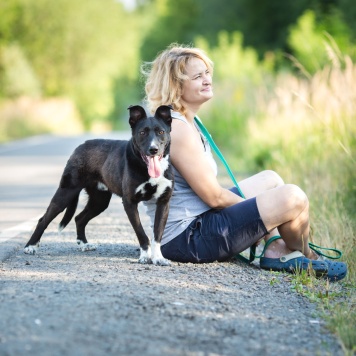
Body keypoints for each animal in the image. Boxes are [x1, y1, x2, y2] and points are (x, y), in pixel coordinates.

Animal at [23, 104, 172, 266]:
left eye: (161, 132)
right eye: (142, 132)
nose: (153, 149)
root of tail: (80, 146)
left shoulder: (163, 203)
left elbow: (157, 234)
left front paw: (158, 257)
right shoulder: (129, 202)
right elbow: (141, 232)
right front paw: (145, 256)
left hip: (99, 201)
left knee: (79, 218)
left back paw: (84, 244)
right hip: (66, 193)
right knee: (43, 220)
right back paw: (30, 246)